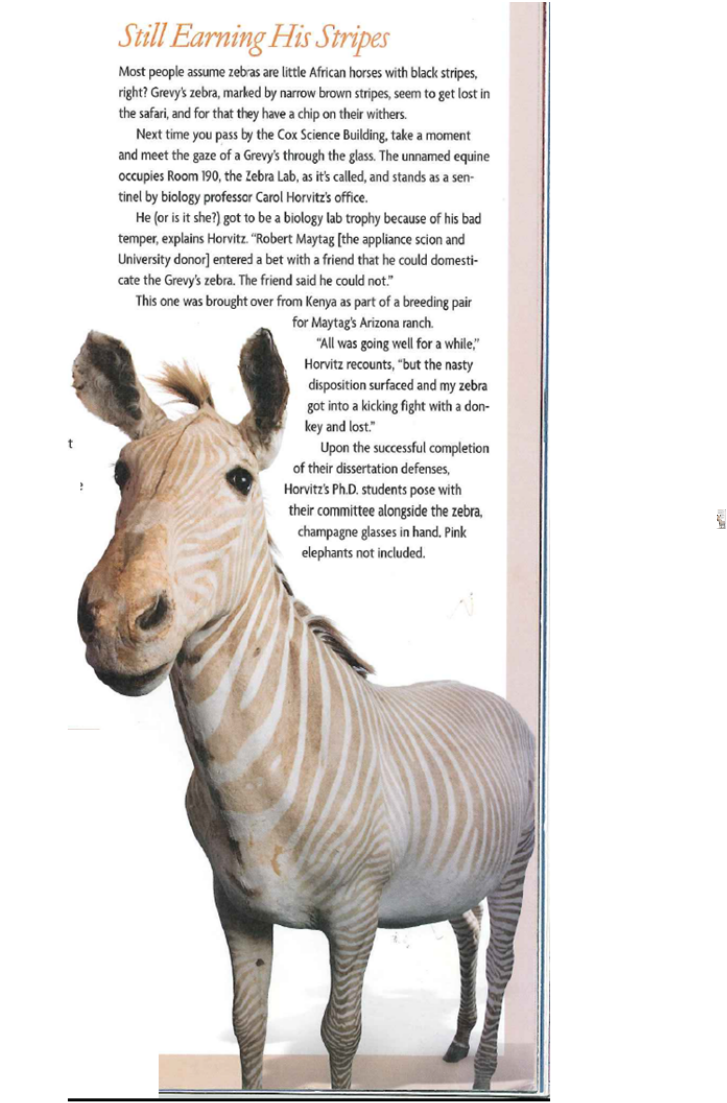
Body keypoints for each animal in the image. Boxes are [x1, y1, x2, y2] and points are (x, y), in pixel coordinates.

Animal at [73, 327, 535, 1092]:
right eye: (119, 472)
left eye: (240, 480)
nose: (114, 623)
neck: (253, 778)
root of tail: (483, 693)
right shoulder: (234, 907)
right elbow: (247, 1024)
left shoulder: (354, 914)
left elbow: (340, 1034)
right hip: (456, 874)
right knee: (467, 932)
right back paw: (455, 1043)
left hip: (515, 863)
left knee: (501, 959)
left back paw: (484, 1070)